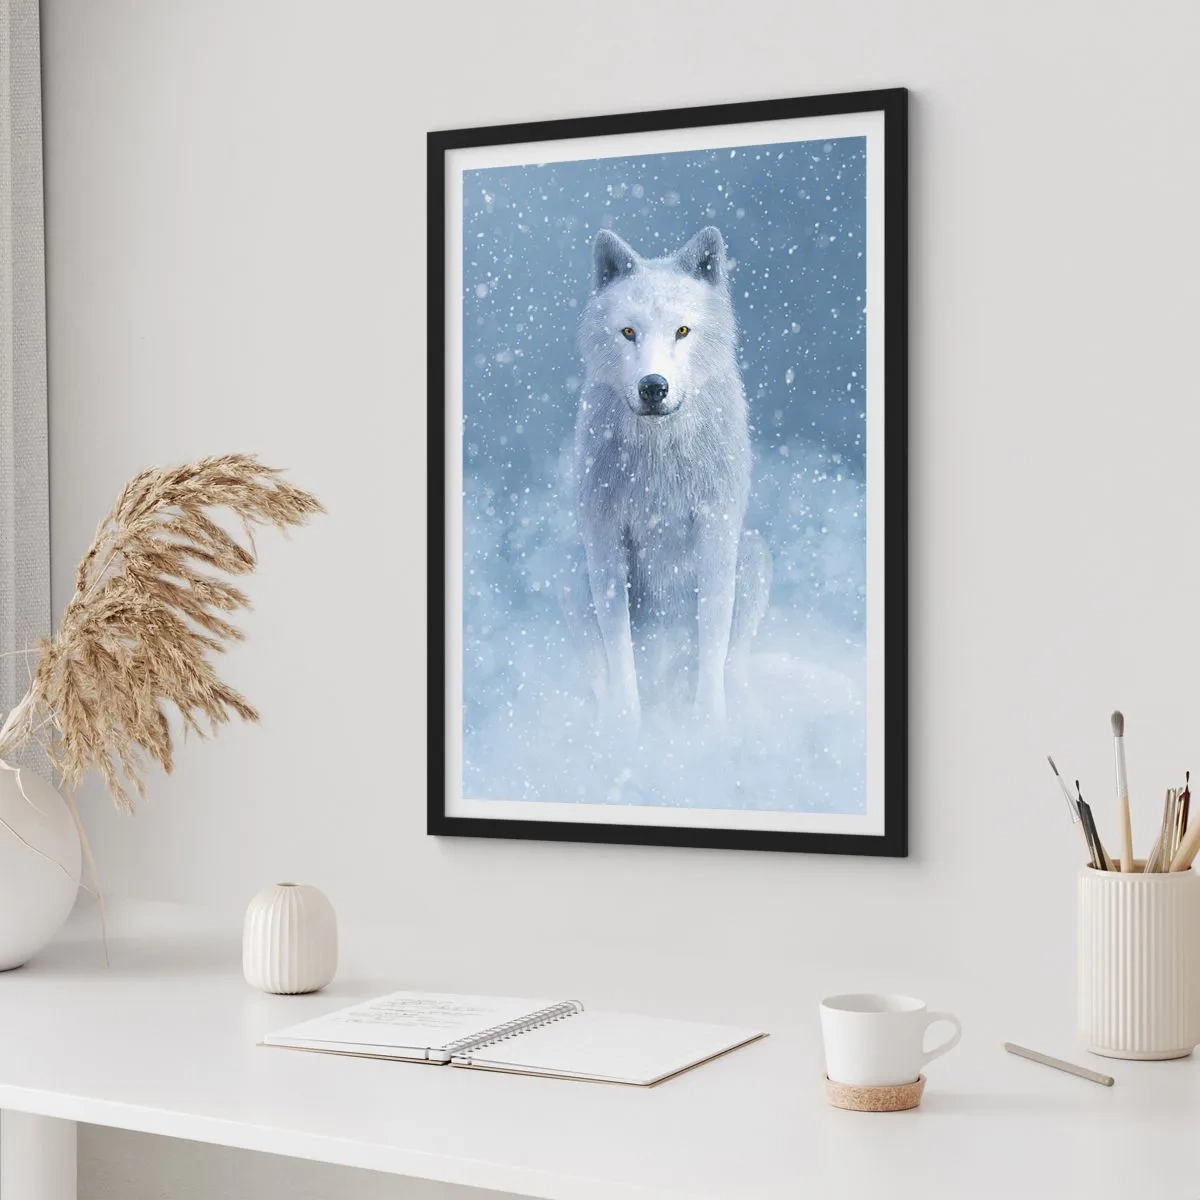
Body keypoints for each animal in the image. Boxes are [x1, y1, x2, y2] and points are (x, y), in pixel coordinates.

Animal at [566, 226, 771, 729]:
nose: (653, 386)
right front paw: (626, 727)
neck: (658, 456)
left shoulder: (716, 530)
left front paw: (708, 727)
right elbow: (618, 646)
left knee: (731, 662)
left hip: (754, 555)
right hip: (572, 571)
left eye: (682, 330)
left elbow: (713, 635)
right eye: (628, 332)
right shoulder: (604, 538)